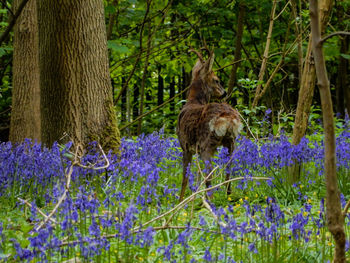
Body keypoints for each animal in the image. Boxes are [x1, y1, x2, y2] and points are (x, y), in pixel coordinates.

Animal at [176, 49, 242, 202]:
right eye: (216, 80)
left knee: (209, 174)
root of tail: (228, 117)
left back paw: (208, 202)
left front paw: (181, 201)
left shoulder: (185, 146)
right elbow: (196, 175)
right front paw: (193, 197)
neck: (193, 101)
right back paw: (228, 196)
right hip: (230, 141)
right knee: (228, 169)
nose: (224, 93)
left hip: (207, 144)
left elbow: (185, 178)